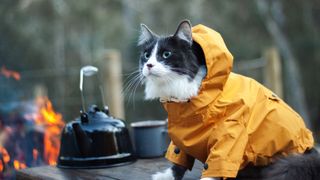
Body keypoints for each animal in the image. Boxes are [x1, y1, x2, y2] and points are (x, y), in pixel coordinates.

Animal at [138, 20, 320, 180]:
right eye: (146, 55)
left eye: (166, 54)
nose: (149, 65)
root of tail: (312, 151)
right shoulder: (181, 136)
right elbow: (179, 159)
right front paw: (167, 176)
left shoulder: (230, 132)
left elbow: (216, 163)